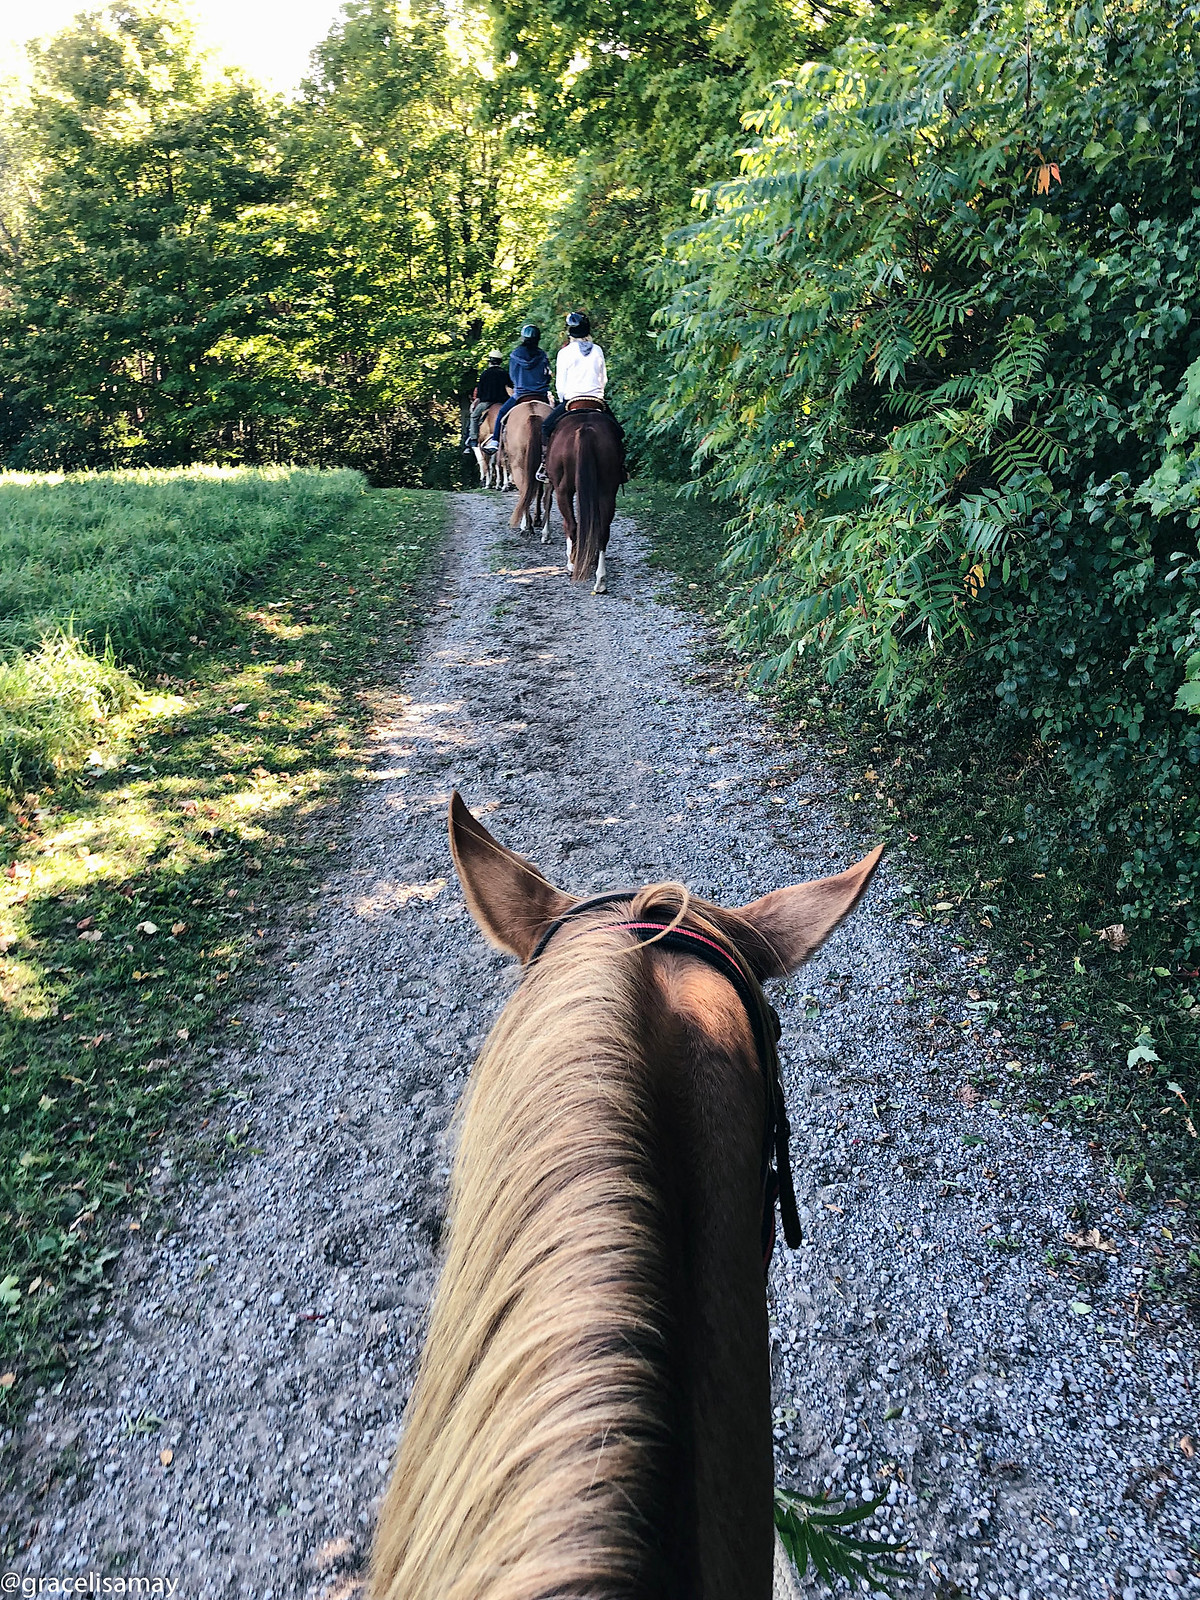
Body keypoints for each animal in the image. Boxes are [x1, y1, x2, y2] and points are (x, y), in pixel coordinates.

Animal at [502, 395, 553, 534]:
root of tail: (533, 414)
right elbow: (539, 492)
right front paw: (537, 519)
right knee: (547, 496)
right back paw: (545, 530)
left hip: (518, 466)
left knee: (524, 490)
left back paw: (528, 526)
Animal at [544, 406, 620, 595]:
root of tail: (586, 430)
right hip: (607, 491)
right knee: (602, 531)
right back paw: (600, 580)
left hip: (563, 490)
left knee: (571, 525)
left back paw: (572, 564)